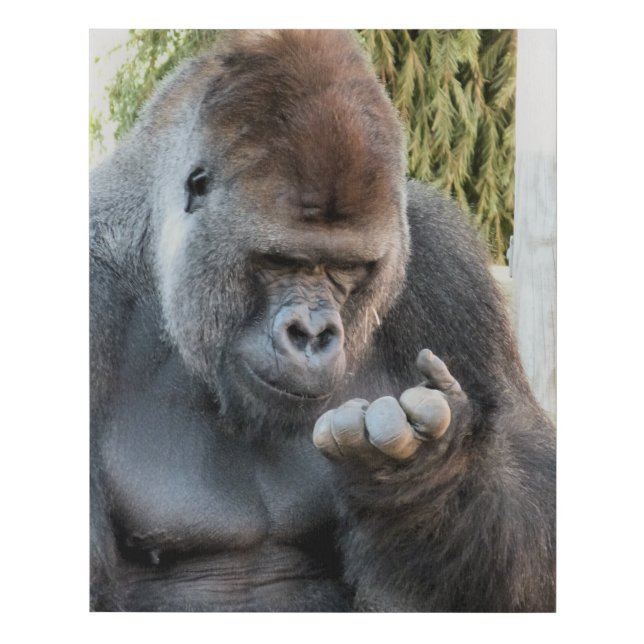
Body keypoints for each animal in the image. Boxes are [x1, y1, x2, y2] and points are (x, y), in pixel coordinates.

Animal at [90, 29, 555, 612]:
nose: (312, 335)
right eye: (279, 262)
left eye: (346, 268)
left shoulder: (444, 262)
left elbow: (535, 515)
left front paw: (425, 473)